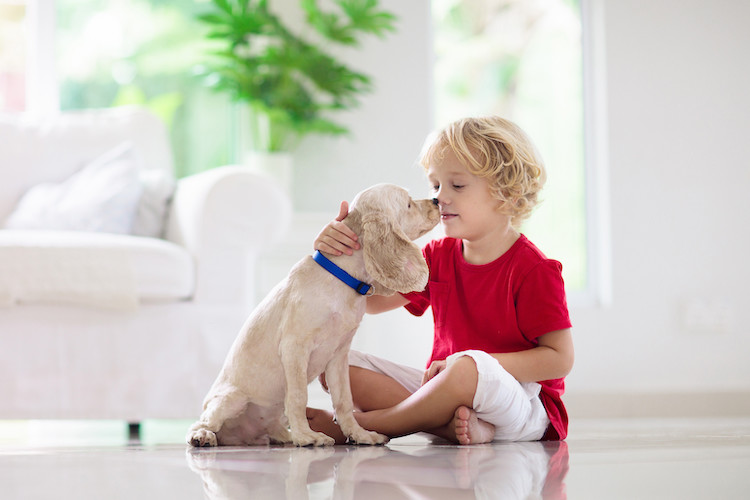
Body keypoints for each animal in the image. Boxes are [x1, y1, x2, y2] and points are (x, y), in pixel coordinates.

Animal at [187, 183, 440, 446]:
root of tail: (240, 437)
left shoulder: (339, 355)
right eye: (409, 204)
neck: (343, 280)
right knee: (202, 422)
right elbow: (299, 396)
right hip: (231, 399)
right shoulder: (294, 347)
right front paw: (307, 436)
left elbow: (344, 400)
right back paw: (203, 436)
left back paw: (286, 437)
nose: (436, 201)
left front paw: (359, 434)